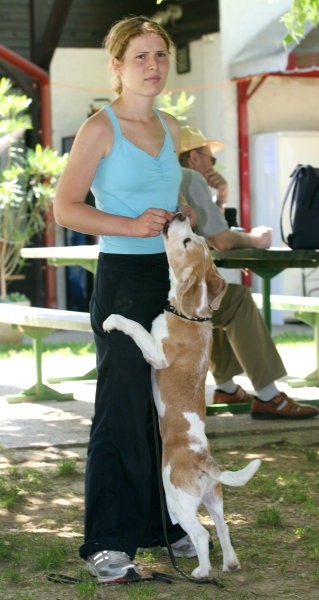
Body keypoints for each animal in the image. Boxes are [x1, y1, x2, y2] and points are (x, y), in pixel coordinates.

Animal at [104, 213, 262, 580]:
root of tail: (204, 460)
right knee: (223, 527)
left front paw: (113, 321)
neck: (192, 313)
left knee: (203, 534)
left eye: (188, 240)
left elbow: (134, 326)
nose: (178, 214)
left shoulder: (156, 353)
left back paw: (201, 573)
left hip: (177, 499)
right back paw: (229, 564)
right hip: (215, 498)